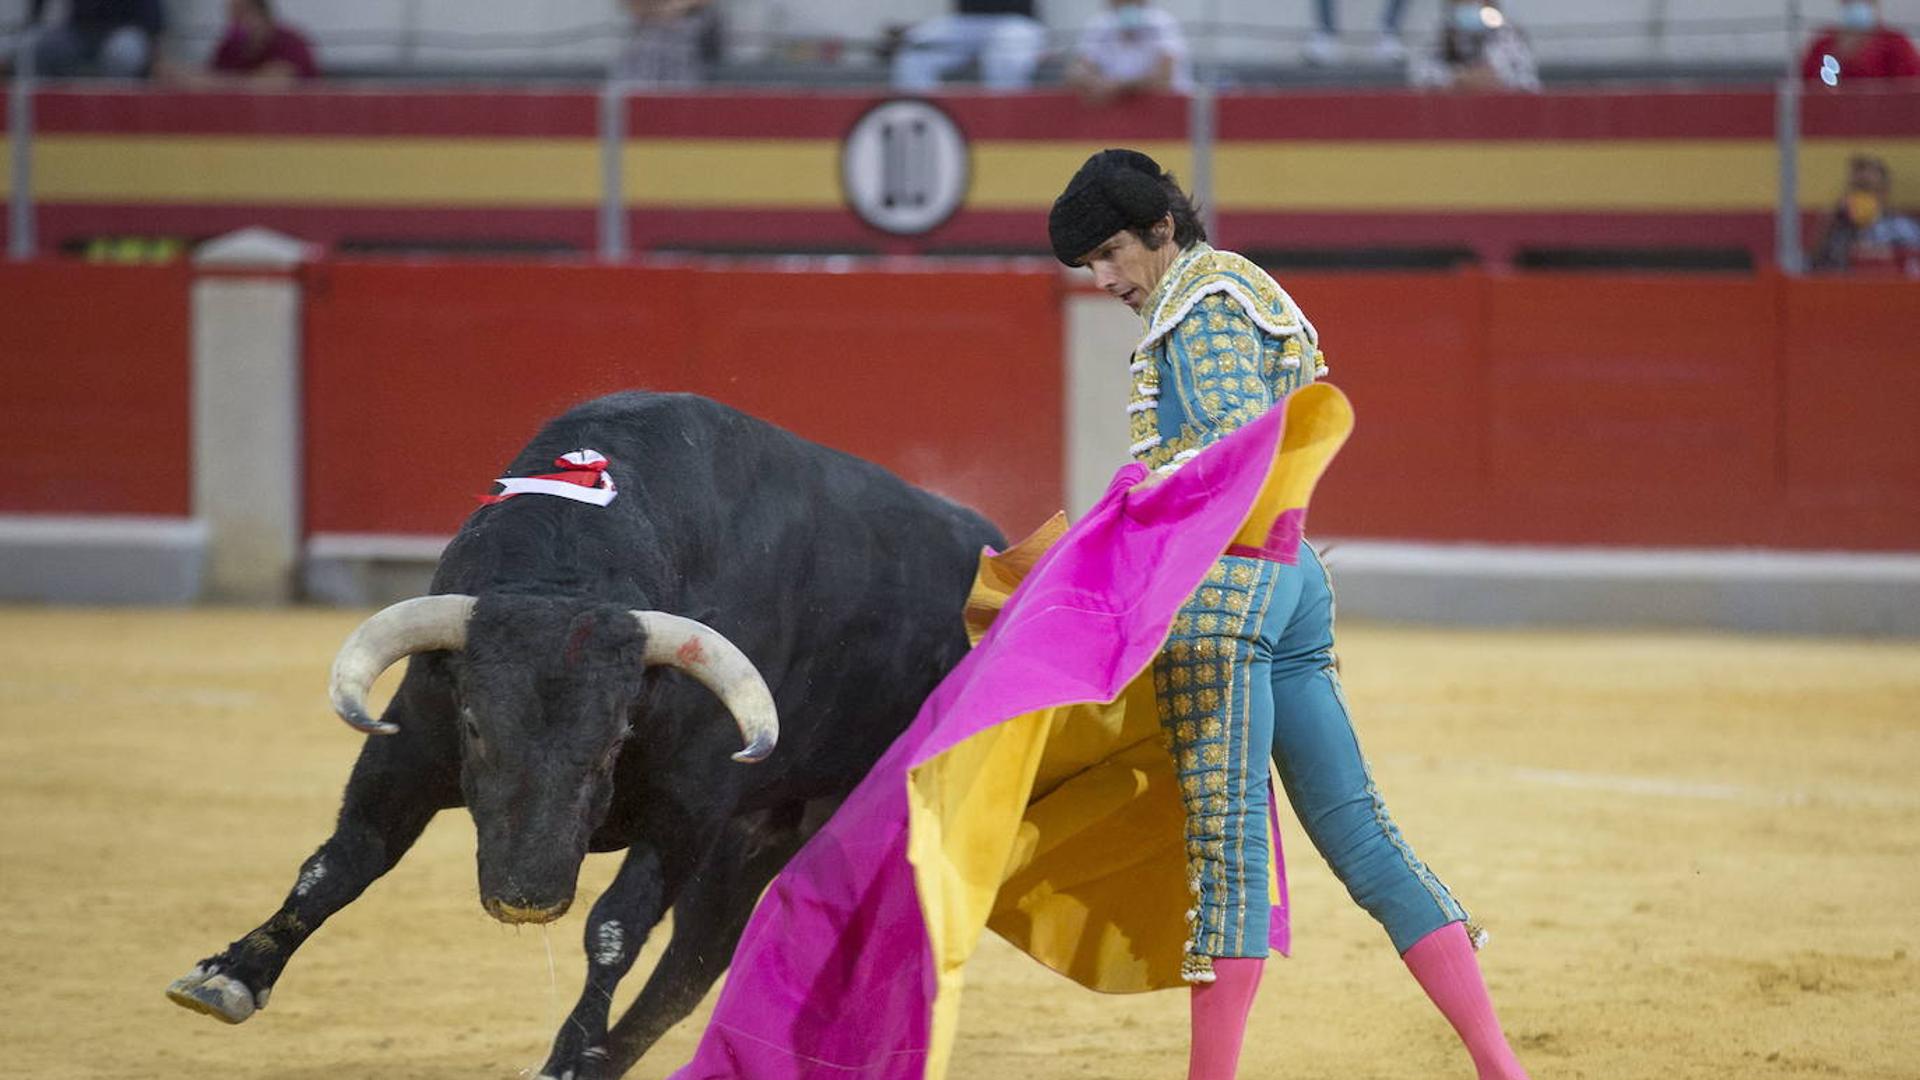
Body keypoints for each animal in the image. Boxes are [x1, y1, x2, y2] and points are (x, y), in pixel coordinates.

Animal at [168, 390, 1006, 1068]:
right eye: (474, 724)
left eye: (615, 735)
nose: (527, 899)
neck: (565, 571)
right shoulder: (408, 748)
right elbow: (340, 862)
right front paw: (228, 977)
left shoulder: (688, 812)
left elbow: (612, 929)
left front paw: (570, 1057)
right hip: (757, 833)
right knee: (697, 959)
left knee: (706, 957)